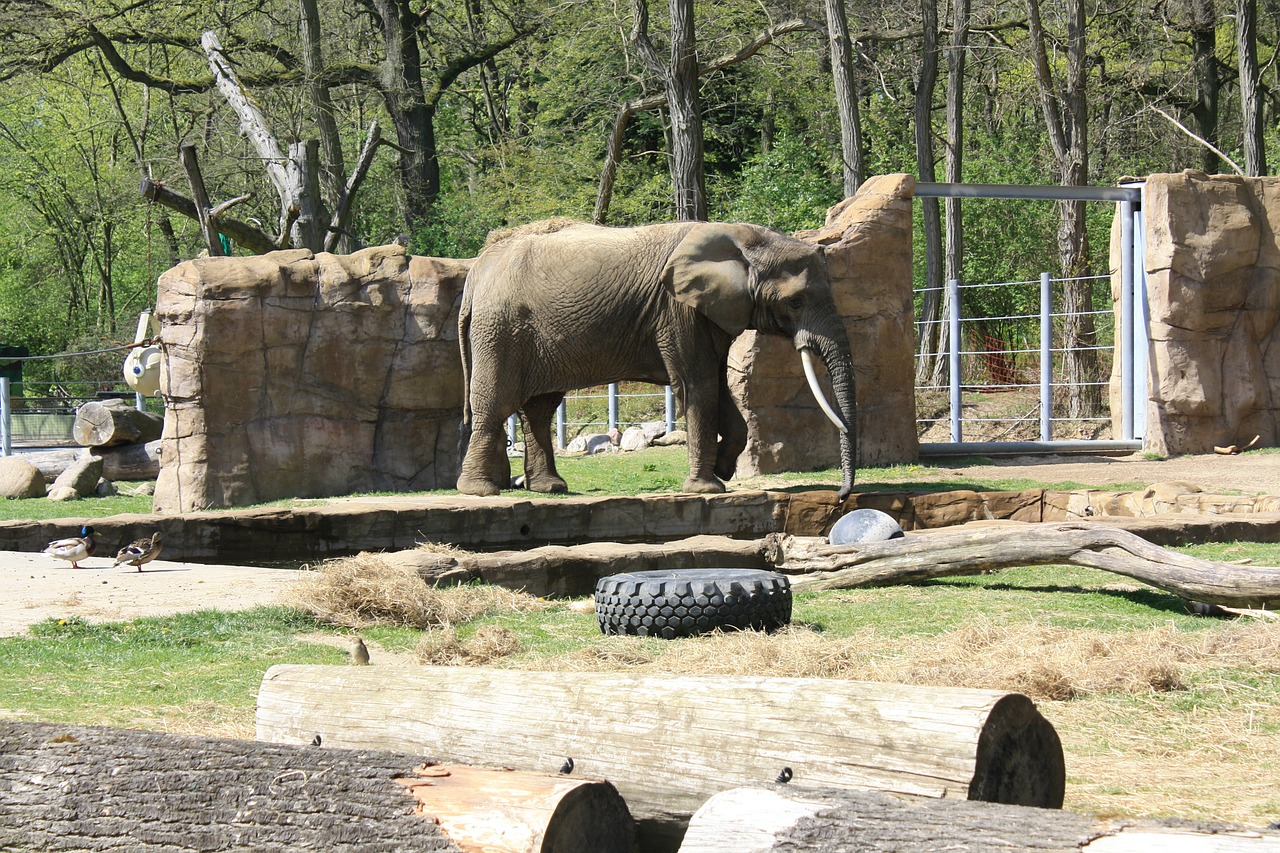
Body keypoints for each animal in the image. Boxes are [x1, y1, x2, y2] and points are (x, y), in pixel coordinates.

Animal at [455, 217, 855, 499]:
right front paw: (707, 488)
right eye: (796, 301)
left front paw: (723, 470)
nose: (841, 495)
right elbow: (698, 386)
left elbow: (717, 385)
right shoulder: (676, 309)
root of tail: (476, 270)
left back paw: (550, 487)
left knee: (538, 407)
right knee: (495, 403)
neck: (742, 238)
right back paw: (480, 491)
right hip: (500, 328)